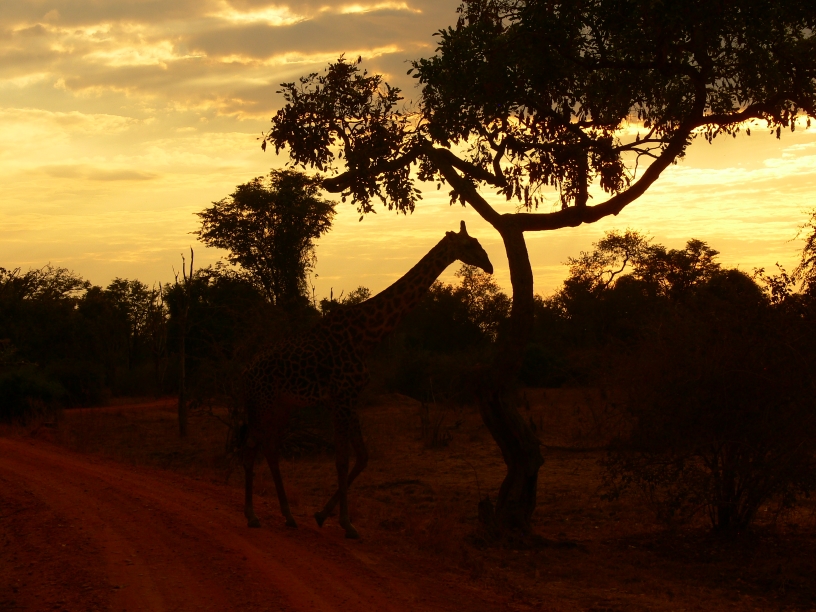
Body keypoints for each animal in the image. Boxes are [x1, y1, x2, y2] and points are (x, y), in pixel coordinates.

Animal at [240, 221, 493, 539]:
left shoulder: (349, 397)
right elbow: (342, 458)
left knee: (269, 449)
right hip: (262, 403)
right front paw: (346, 523)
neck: (367, 335)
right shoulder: (341, 397)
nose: (490, 266)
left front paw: (323, 515)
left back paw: (287, 515)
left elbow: (361, 456)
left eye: (478, 242)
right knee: (252, 447)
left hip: (282, 406)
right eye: (470, 244)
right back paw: (251, 515)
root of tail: (247, 371)